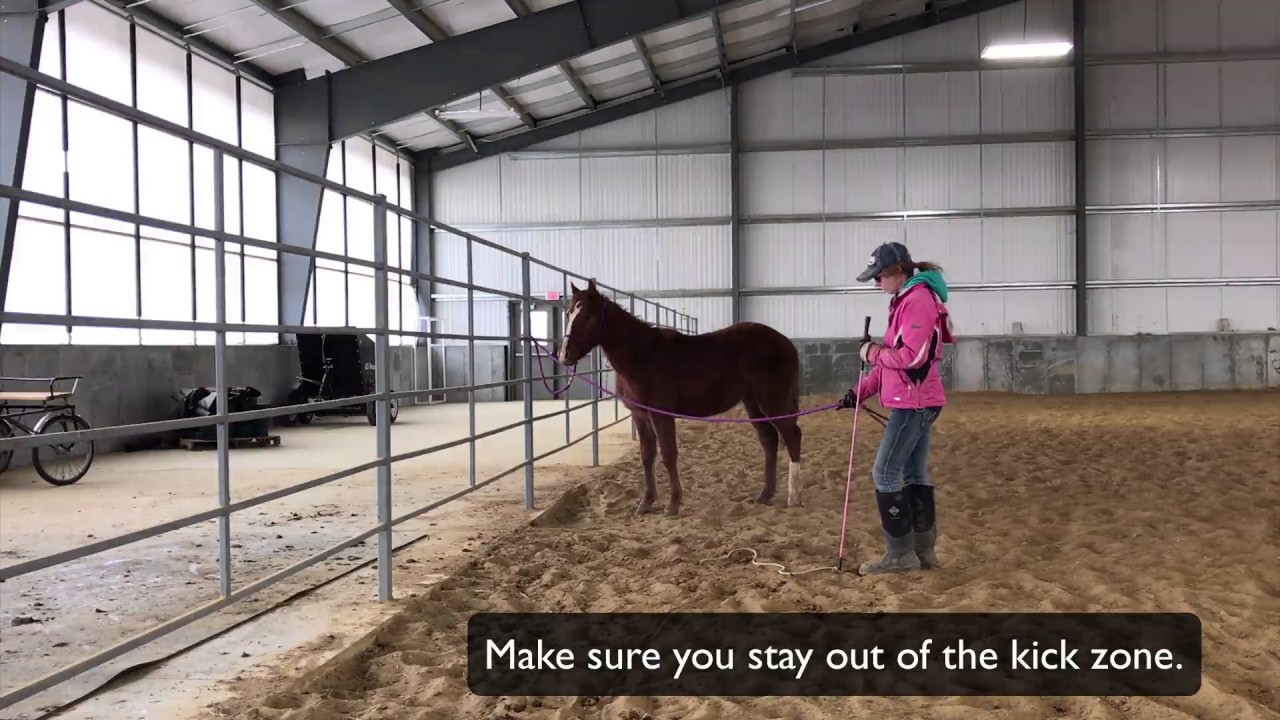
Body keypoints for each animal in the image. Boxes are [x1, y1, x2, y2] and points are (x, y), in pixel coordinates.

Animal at [555, 279, 804, 517]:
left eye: (589, 316)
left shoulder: (661, 415)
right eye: (568, 313)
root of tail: (786, 343)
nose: (564, 356)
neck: (642, 356)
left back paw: (793, 497)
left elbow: (668, 454)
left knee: (792, 436)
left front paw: (673, 505)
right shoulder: (640, 415)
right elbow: (647, 456)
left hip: (772, 401)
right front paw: (646, 503)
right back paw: (764, 495)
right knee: (769, 440)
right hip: (753, 403)